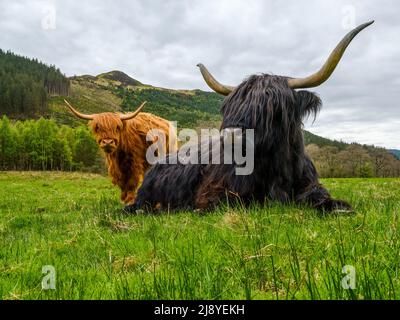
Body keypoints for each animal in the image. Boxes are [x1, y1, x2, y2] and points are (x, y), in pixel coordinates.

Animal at [129, 21, 376, 214]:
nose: (231, 136)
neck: (277, 170)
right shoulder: (216, 192)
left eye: (273, 105)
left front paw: (341, 208)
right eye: (228, 107)